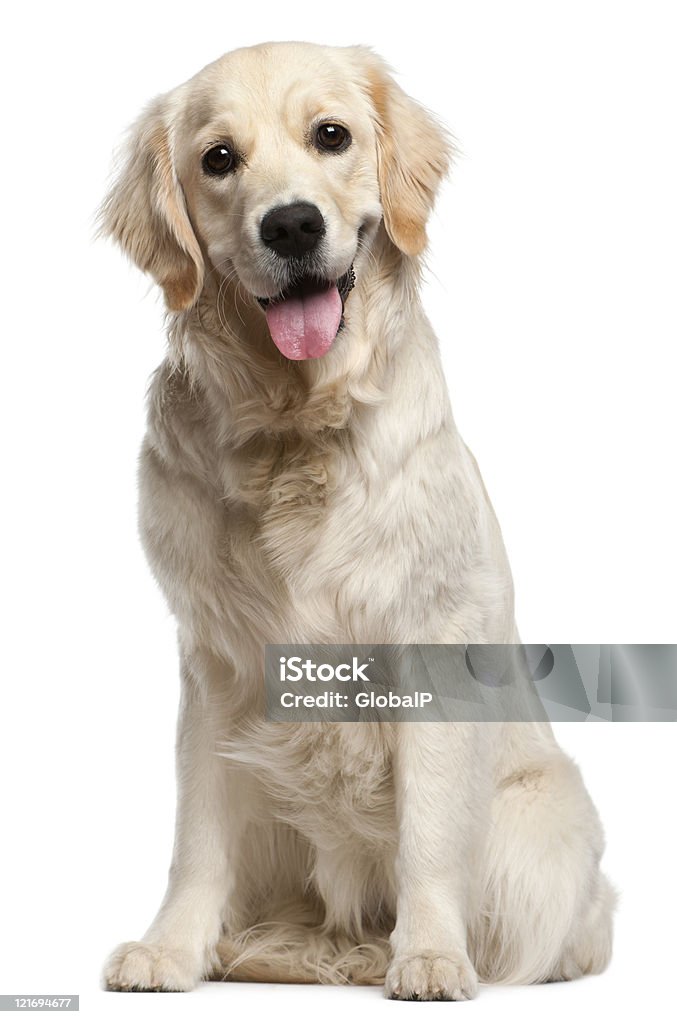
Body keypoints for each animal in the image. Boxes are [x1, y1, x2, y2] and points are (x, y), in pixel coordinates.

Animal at [98, 41, 614, 999]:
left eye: (330, 135)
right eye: (218, 159)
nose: (292, 226)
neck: (296, 427)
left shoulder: (428, 647)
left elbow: (428, 839)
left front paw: (430, 955)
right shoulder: (215, 663)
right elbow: (198, 836)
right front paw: (172, 947)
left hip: (536, 825)